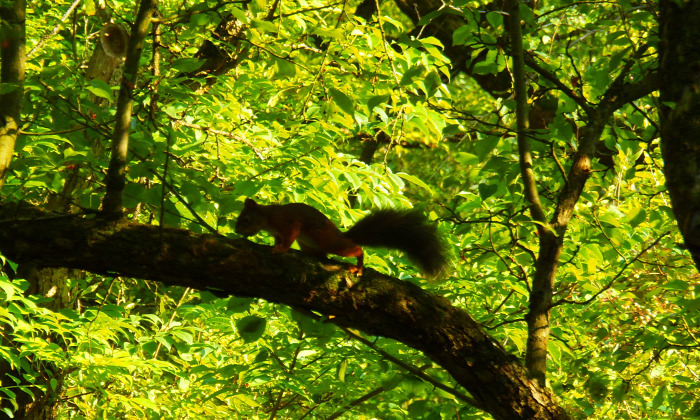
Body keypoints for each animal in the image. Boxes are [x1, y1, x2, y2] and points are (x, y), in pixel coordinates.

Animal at [232, 199, 446, 276]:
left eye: (245, 219)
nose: (236, 230)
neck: (269, 217)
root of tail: (339, 234)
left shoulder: (289, 223)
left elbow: (288, 238)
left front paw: (282, 249)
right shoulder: (277, 232)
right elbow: (278, 240)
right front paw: (276, 247)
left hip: (330, 241)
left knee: (357, 248)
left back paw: (358, 266)